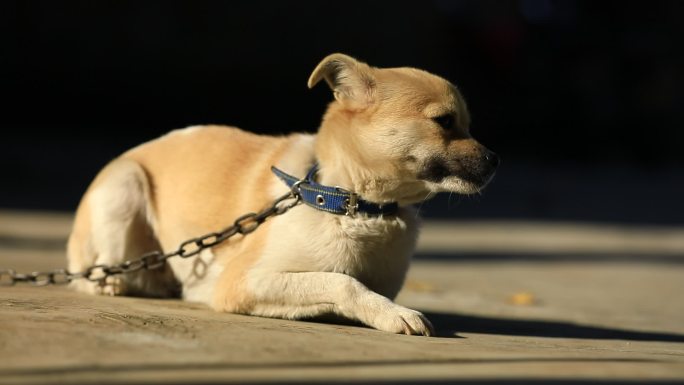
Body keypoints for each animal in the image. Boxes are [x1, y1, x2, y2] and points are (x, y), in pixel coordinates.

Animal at [68, 52, 496, 334]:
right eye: (444, 121)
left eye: (467, 124)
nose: (496, 160)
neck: (353, 204)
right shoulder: (242, 281)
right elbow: (341, 281)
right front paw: (394, 314)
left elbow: (346, 285)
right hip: (124, 188)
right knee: (93, 274)